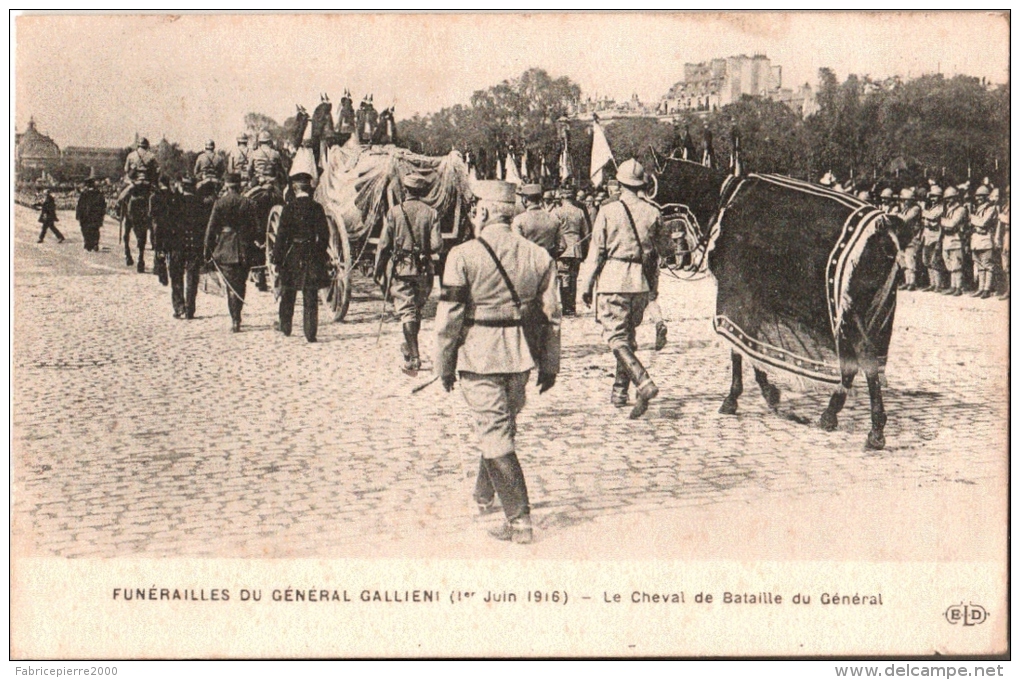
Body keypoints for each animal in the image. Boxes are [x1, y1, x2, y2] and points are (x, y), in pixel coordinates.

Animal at [652, 157, 909, 448]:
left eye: (652, 187)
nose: (662, 255)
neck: (722, 200)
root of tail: (884, 230)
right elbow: (748, 348)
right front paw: (766, 394)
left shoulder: (736, 297)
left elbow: (740, 349)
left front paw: (741, 397)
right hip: (862, 314)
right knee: (853, 362)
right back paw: (831, 414)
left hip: (852, 312)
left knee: (865, 359)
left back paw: (875, 430)